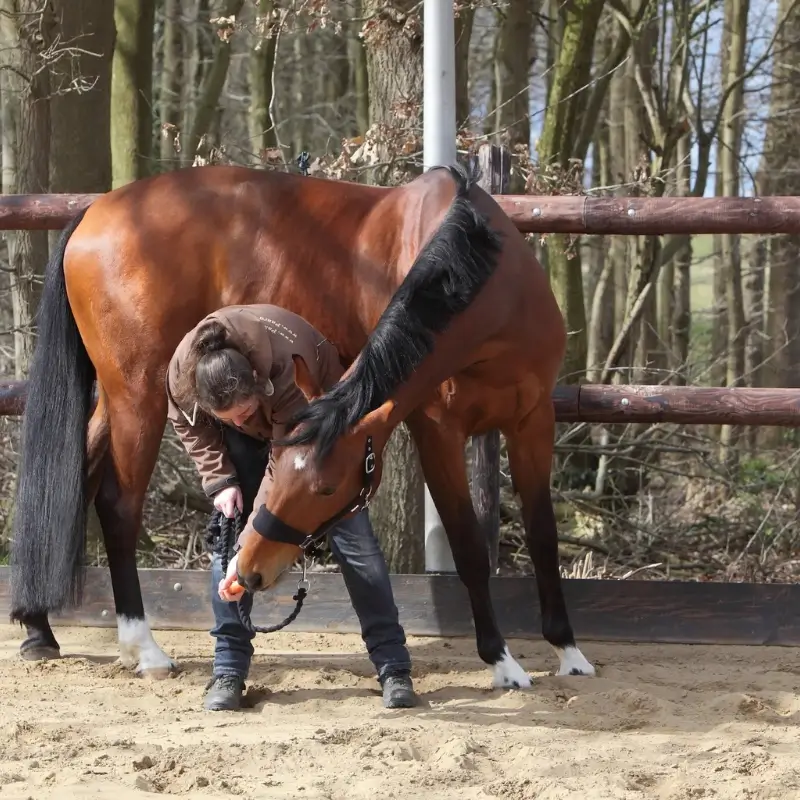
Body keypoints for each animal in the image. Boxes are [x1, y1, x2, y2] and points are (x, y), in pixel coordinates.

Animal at [7, 162, 592, 688]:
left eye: (325, 486)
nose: (249, 571)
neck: (490, 290)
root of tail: (93, 212)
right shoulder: (438, 432)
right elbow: (469, 547)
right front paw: (502, 661)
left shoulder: (534, 422)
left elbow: (543, 534)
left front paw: (568, 650)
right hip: (140, 396)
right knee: (118, 505)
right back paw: (142, 647)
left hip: (116, 400)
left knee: (73, 486)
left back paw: (39, 629)